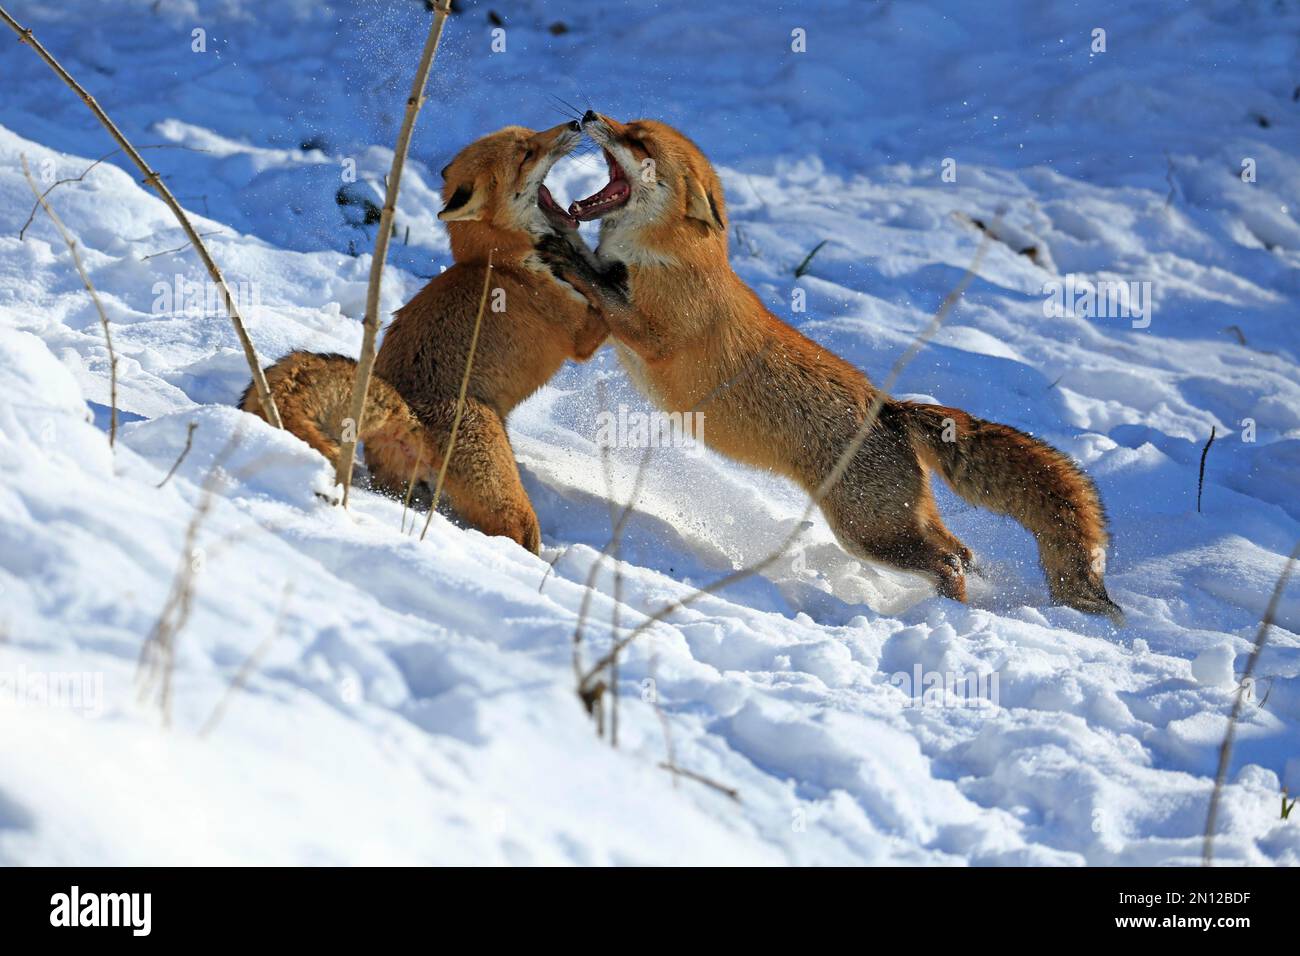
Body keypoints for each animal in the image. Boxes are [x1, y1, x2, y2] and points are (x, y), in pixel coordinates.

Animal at [241, 121, 605, 554]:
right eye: (526, 154)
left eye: (531, 135)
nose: (576, 123)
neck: (500, 260)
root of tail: (408, 410)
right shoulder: (584, 334)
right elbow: (608, 295)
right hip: (513, 508)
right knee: (520, 538)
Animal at [543, 111, 1123, 621]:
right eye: (627, 125)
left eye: (638, 141)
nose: (589, 113)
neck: (669, 258)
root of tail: (891, 409)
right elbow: (595, 276)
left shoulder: (652, 335)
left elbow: (600, 285)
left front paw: (563, 247)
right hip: (895, 520)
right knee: (959, 549)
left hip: (867, 532)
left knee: (946, 562)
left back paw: (947, 614)